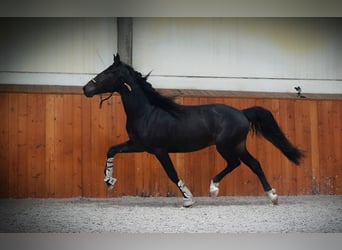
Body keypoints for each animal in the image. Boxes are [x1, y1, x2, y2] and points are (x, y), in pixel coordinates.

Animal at [83, 53, 304, 207]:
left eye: (107, 73)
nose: (86, 89)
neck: (146, 112)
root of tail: (242, 113)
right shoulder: (137, 145)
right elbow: (111, 149)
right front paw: (109, 181)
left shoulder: (159, 150)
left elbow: (172, 173)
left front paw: (188, 199)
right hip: (238, 145)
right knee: (254, 164)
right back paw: (272, 196)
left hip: (225, 146)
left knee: (235, 163)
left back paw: (214, 187)